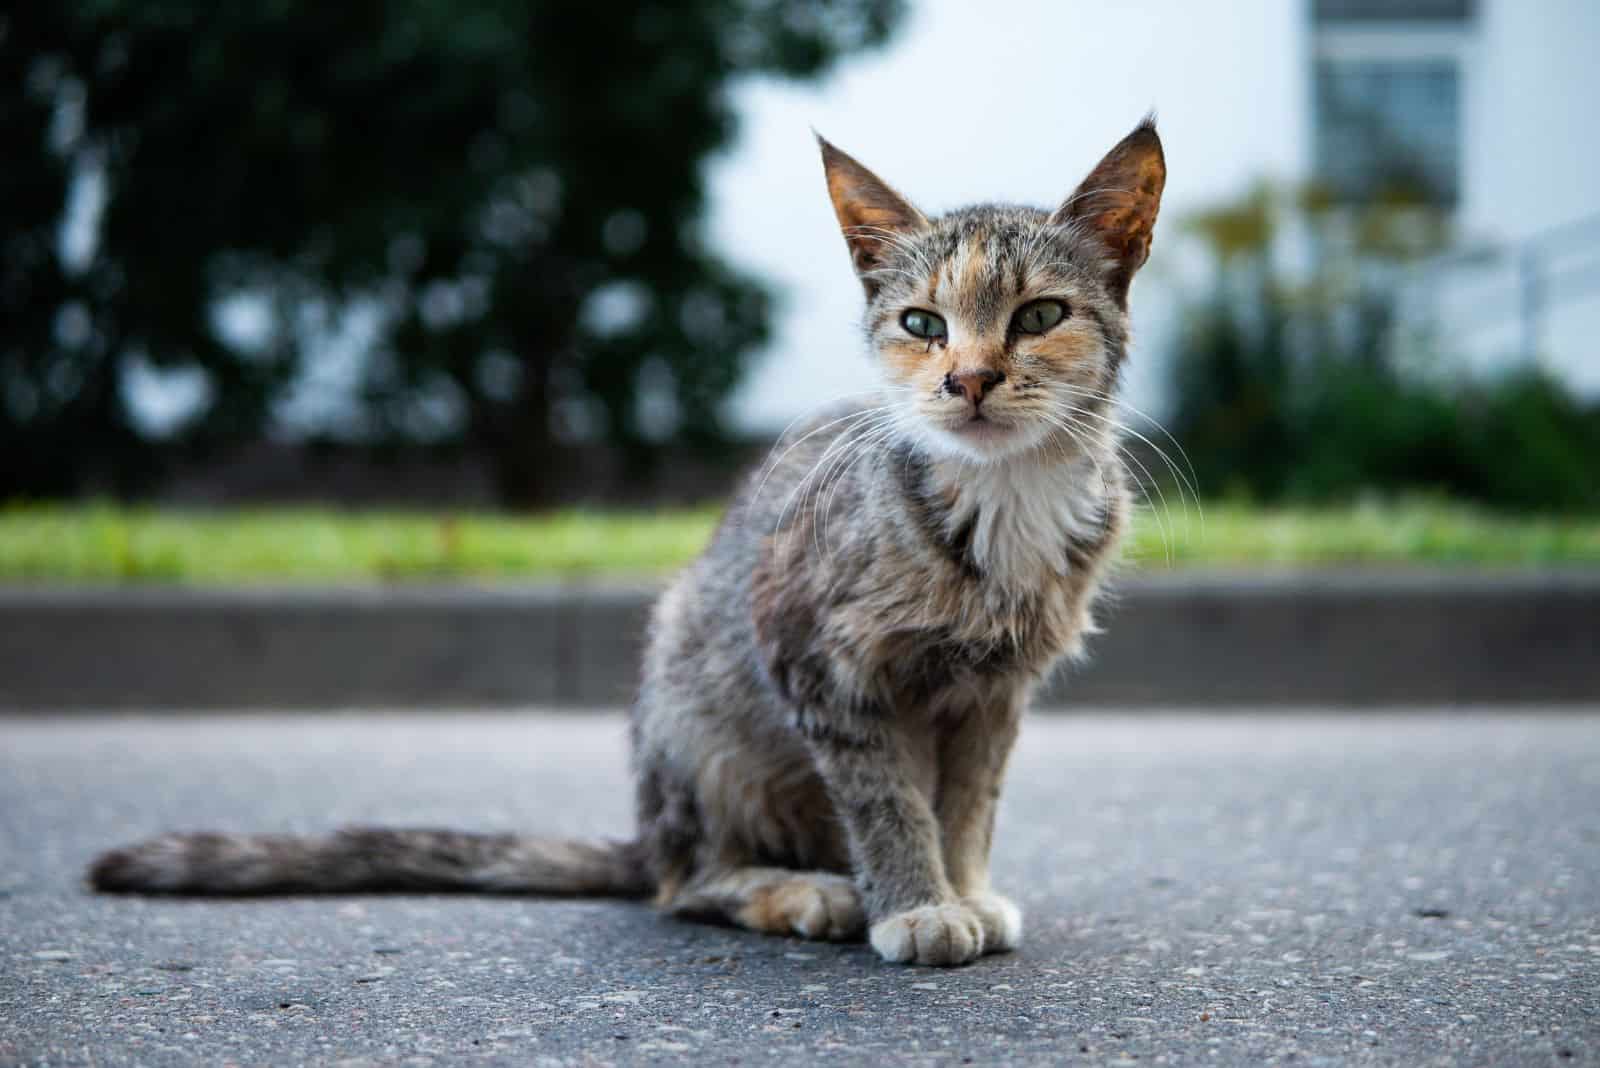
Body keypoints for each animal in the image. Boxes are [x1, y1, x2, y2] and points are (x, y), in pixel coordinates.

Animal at [90, 119, 1164, 965]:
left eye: (1039, 315)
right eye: (922, 323)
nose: (968, 380)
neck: (998, 502)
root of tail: (646, 831)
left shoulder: (994, 693)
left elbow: (969, 800)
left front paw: (964, 887)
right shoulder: (814, 658)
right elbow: (888, 800)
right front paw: (918, 905)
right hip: (694, 706)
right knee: (681, 884)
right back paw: (797, 889)